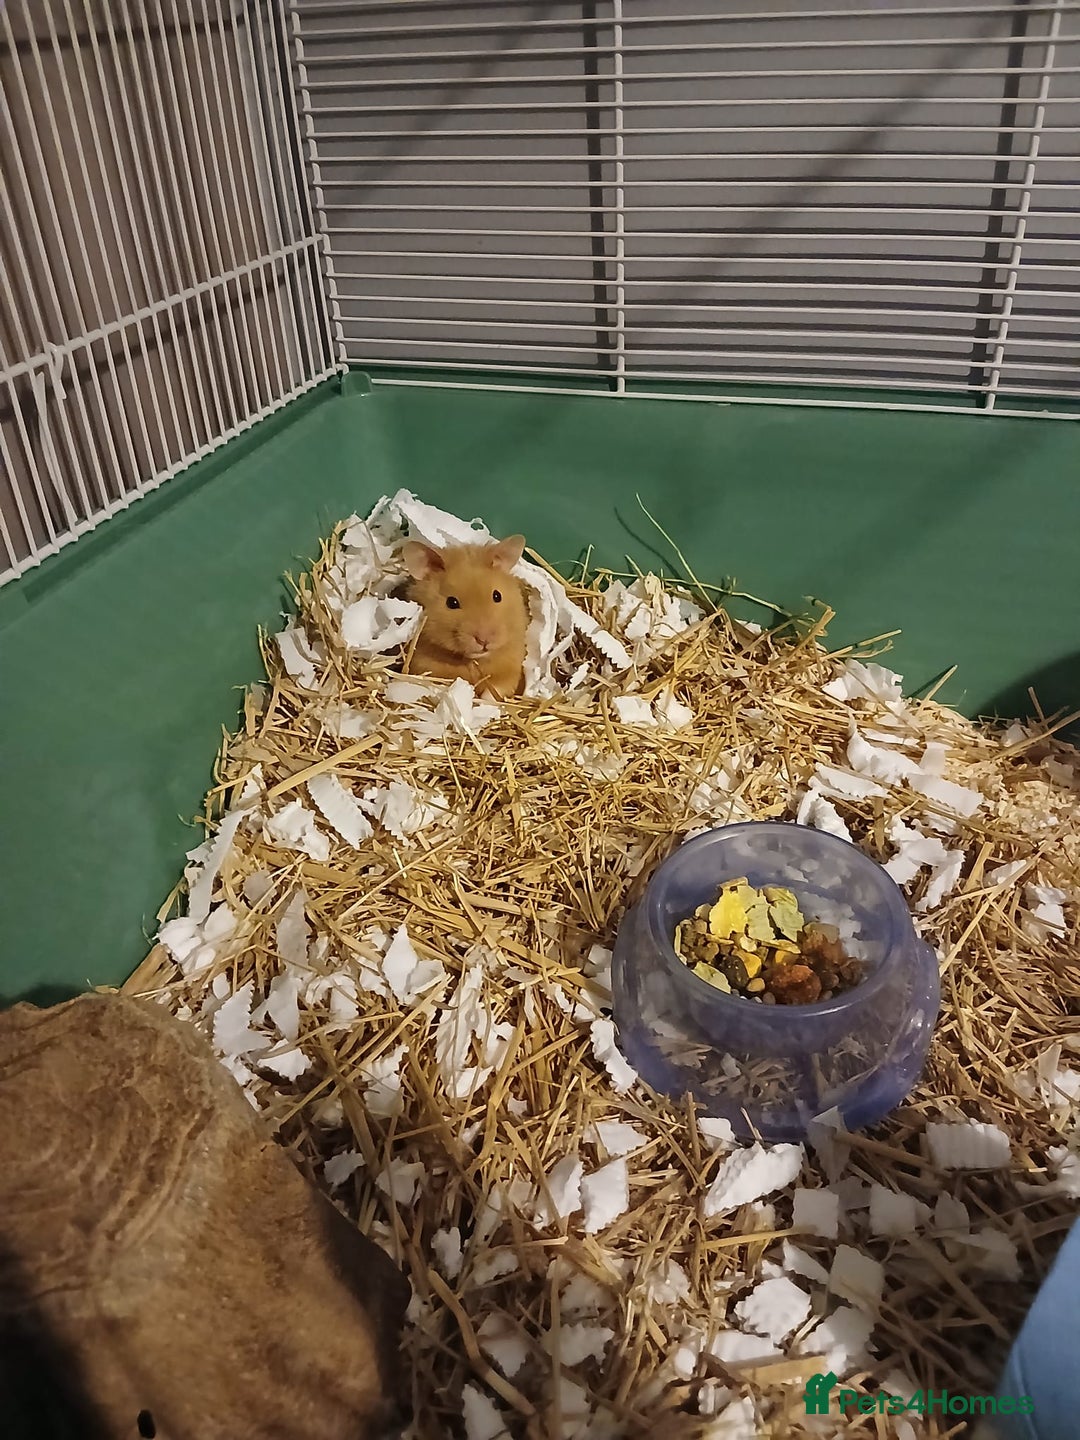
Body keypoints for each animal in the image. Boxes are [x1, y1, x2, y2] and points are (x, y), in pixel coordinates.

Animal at [400, 535, 529, 699]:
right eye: (452, 602)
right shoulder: (424, 667)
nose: (484, 640)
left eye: (497, 596)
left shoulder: (511, 668)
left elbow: (494, 692)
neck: (473, 661)